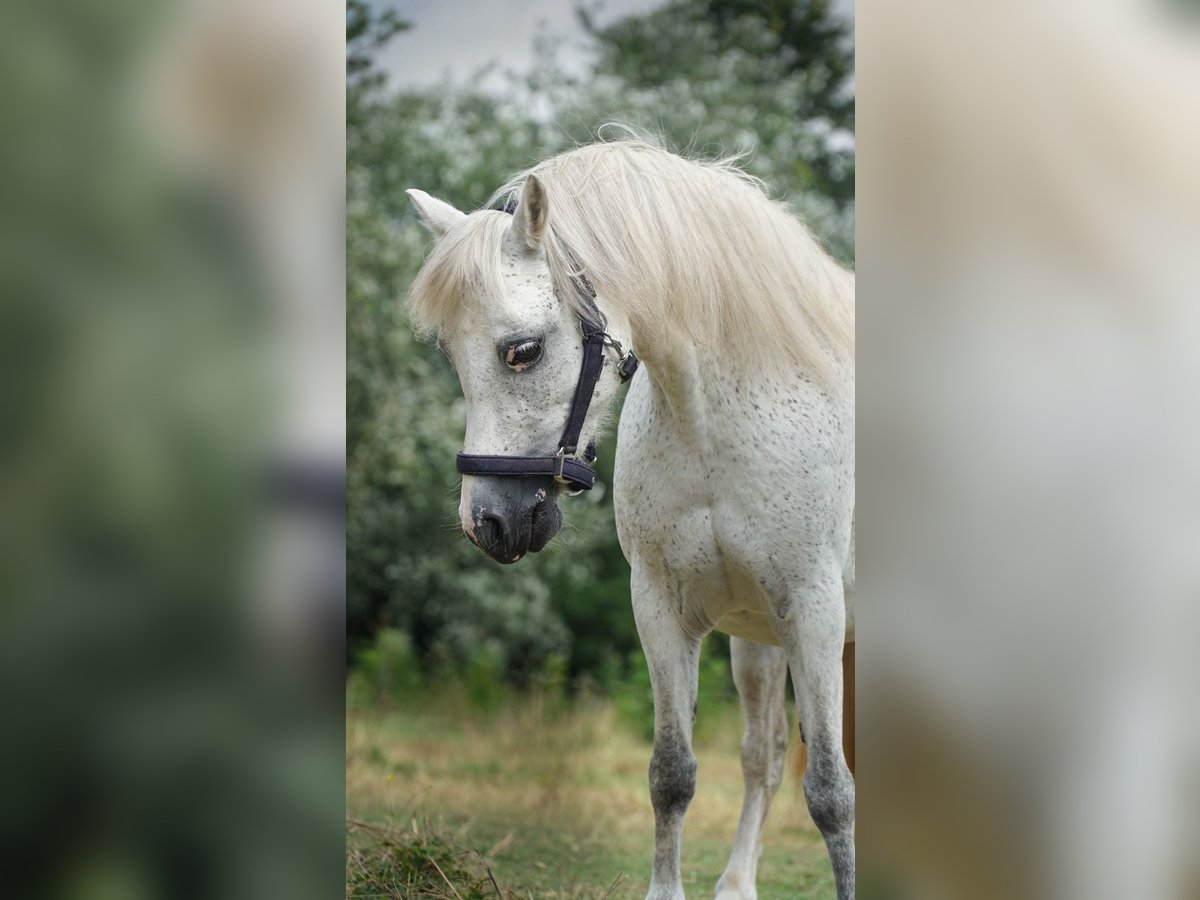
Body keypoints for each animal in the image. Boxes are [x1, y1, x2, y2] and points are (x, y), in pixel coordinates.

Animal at [408, 141, 859, 900]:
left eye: (523, 351)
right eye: (449, 354)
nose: (487, 522)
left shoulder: (817, 613)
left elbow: (831, 792)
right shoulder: (663, 608)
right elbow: (672, 775)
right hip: (760, 640)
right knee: (762, 754)